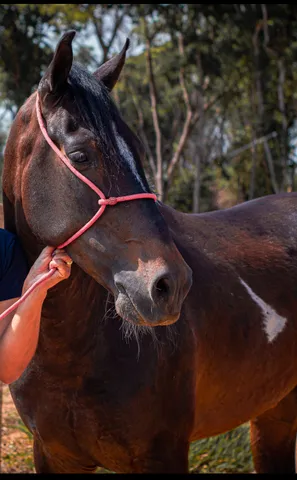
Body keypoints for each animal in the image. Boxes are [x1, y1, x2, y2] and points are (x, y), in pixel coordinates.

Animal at [2, 31, 297, 476]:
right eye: (80, 155)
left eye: (139, 150)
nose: (169, 286)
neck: (68, 353)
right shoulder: (54, 454)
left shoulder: (163, 452)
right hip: (274, 412)